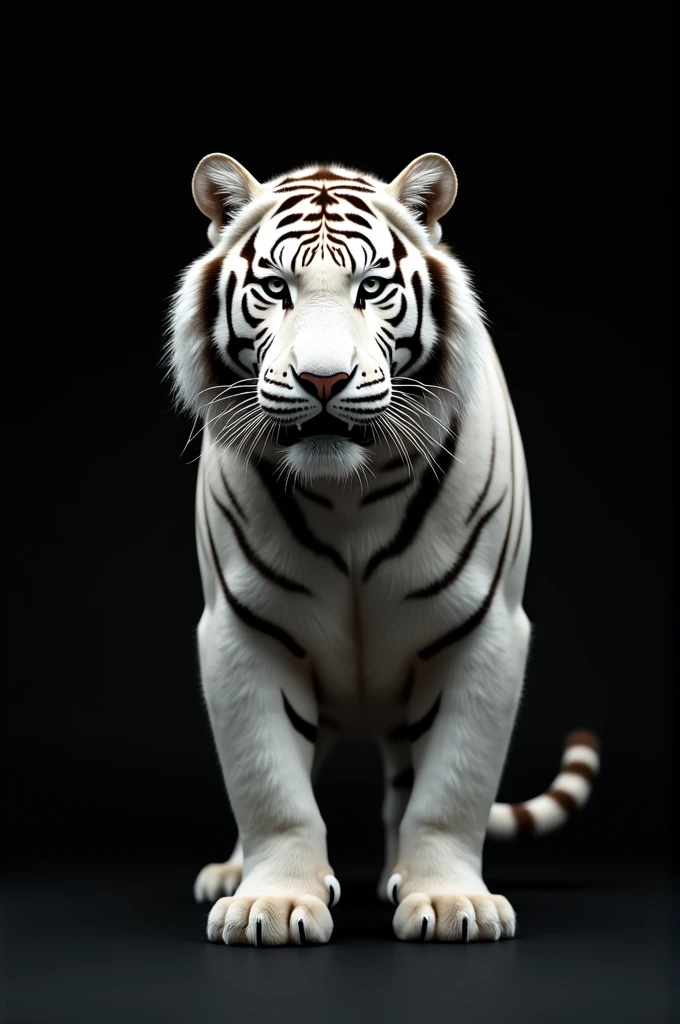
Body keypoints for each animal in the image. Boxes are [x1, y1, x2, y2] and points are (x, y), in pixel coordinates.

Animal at [167, 152, 600, 947]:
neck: (348, 495)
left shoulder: (486, 632)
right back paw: (230, 872)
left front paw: (450, 901)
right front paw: (271, 902)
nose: (323, 378)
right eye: (276, 288)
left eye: (371, 288)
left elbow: (450, 788)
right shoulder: (241, 633)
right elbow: (269, 787)